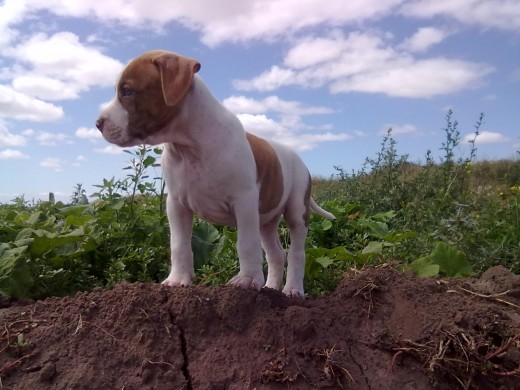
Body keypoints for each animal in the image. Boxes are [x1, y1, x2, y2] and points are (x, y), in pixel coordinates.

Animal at [96, 51, 336, 296]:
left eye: (127, 91)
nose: (98, 123)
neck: (189, 147)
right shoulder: (176, 204)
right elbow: (179, 244)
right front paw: (178, 280)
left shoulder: (244, 202)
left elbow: (246, 244)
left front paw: (247, 280)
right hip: (266, 221)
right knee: (276, 254)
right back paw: (270, 288)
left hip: (297, 210)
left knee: (296, 252)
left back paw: (293, 290)